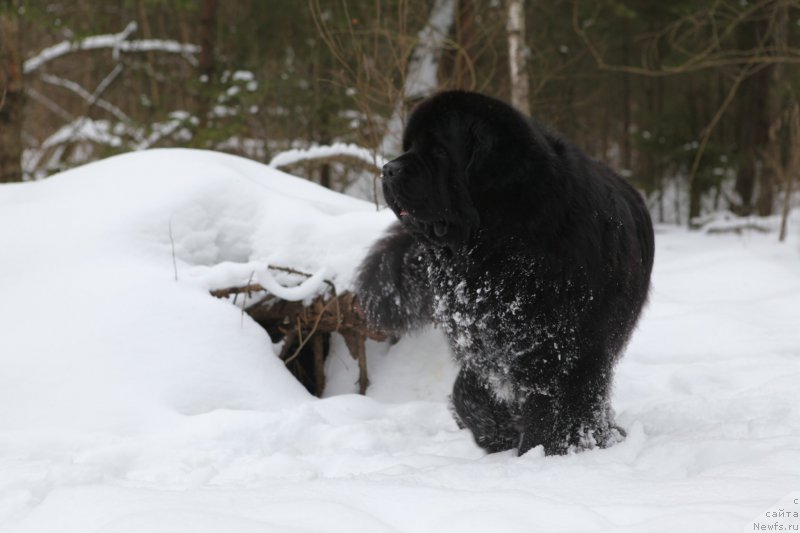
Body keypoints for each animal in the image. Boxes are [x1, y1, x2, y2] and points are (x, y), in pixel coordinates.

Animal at [358, 90, 656, 454]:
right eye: (409, 146)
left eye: (440, 150)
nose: (388, 169)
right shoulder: (480, 338)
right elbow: (469, 390)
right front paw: (498, 431)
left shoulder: (564, 346)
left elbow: (559, 404)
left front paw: (548, 450)